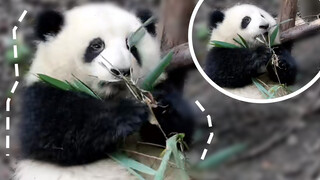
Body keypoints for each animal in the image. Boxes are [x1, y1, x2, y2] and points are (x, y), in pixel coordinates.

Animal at [15, 3, 194, 180]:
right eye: (96, 46)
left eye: (131, 46)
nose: (121, 71)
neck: (109, 96)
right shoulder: (43, 91)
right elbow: (57, 130)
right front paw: (128, 113)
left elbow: (177, 135)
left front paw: (160, 105)